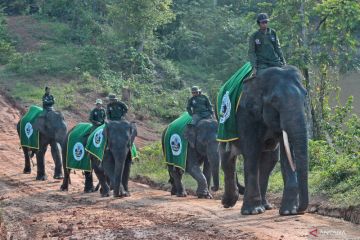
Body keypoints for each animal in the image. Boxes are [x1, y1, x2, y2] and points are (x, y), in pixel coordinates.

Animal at [221, 65, 308, 216]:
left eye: (306, 95)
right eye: (274, 100)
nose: (300, 210)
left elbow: (287, 153)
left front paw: (289, 212)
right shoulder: (244, 113)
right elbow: (251, 152)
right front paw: (252, 212)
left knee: (269, 160)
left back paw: (266, 206)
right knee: (227, 159)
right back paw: (228, 203)